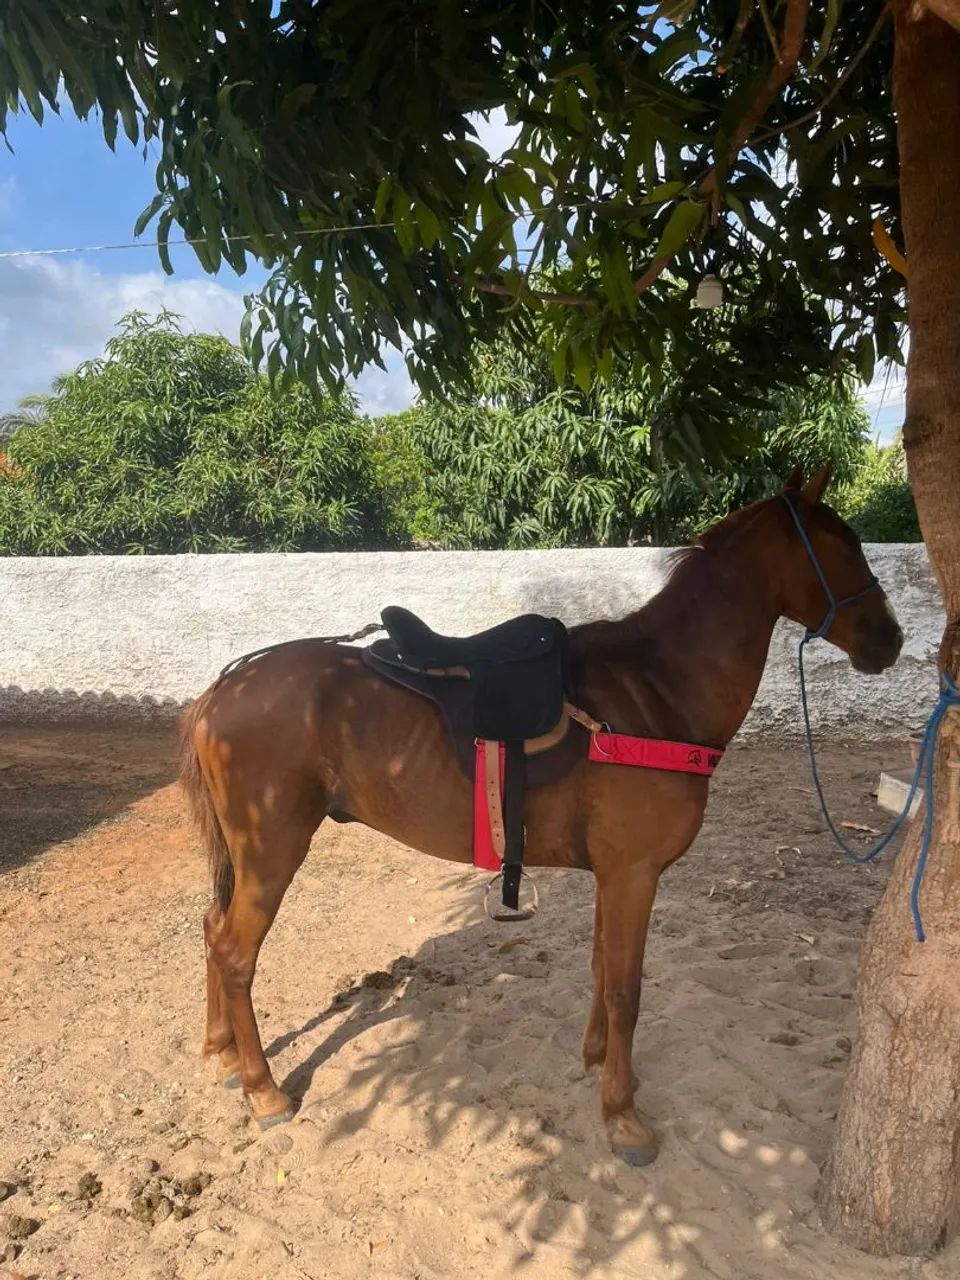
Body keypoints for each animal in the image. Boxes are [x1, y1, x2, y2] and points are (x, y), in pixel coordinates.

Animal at [179, 465, 903, 1165]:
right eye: (844, 547)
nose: (890, 640)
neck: (653, 693)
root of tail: (224, 687)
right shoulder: (634, 873)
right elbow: (626, 990)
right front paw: (623, 1117)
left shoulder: (616, 875)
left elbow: (602, 971)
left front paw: (598, 1065)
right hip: (271, 850)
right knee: (235, 952)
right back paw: (264, 1092)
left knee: (212, 930)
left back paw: (220, 1054)